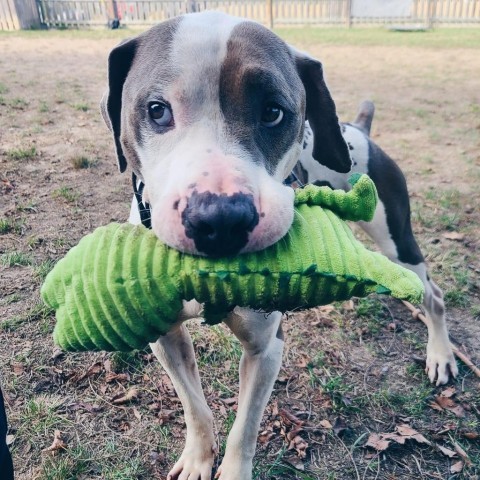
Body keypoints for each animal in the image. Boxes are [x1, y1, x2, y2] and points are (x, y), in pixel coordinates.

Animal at [98, 12, 458, 480]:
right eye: (156, 110)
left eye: (273, 112)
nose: (220, 220)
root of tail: (357, 127)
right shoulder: (165, 337)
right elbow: (194, 405)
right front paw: (197, 458)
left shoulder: (266, 348)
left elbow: (245, 428)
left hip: (396, 237)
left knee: (433, 295)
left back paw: (441, 355)